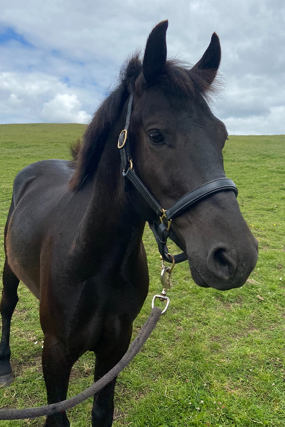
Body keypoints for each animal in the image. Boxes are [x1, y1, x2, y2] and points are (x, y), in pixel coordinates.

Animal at [0, 20, 258, 427]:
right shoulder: (55, 352)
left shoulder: (115, 348)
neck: (93, 260)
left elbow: (101, 410)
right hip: (10, 269)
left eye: (222, 135)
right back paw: (5, 367)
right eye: (156, 135)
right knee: (7, 305)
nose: (236, 258)